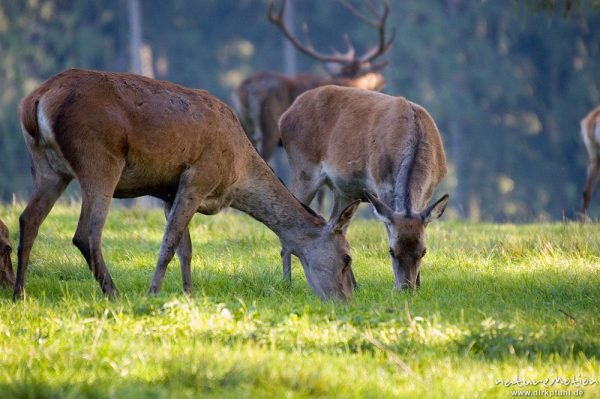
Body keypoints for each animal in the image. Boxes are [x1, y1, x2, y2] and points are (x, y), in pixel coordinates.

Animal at [15, 69, 360, 302]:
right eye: (347, 258)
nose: (346, 299)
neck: (238, 171)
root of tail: (36, 100)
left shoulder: (168, 190)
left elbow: (186, 248)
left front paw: (188, 294)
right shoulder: (198, 176)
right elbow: (169, 242)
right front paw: (153, 292)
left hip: (46, 167)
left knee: (28, 219)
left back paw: (18, 292)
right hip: (99, 159)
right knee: (86, 233)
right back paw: (113, 292)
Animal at [278, 85, 448, 290]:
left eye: (423, 251)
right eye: (391, 251)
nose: (405, 288)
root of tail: (285, 115)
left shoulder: (428, 193)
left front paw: (419, 285)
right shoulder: (382, 186)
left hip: (345, 191)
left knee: (337, 226)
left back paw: (354, 285)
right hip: (303, 168)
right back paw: (287, 281)